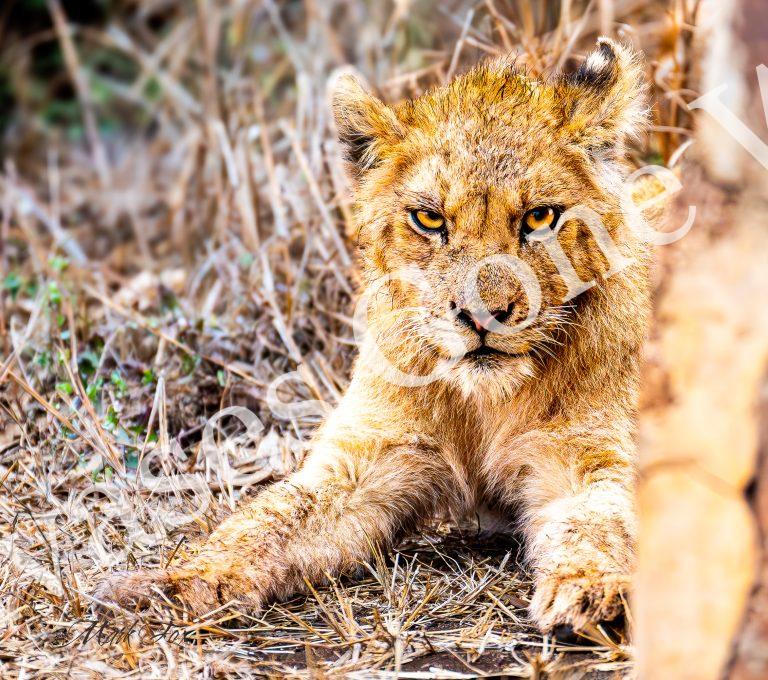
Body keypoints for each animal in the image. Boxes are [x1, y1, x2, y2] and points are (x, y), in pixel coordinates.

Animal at [96, 38, 650, 634]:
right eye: (429, 220)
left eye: (541, 217)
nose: (483, 316)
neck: (487, 403)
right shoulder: (368, 454)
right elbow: (268, 519)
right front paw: (171, 583)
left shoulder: (587, 454)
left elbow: (601, 520)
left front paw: (590, 589)